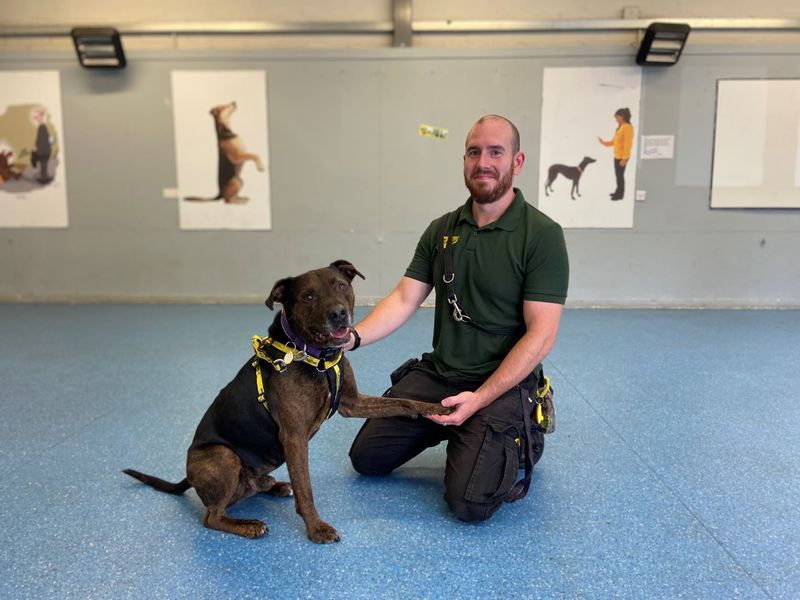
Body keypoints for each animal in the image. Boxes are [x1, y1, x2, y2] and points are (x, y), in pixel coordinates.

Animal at [125, 260, 450, 540]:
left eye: (341, 285)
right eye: (308, 296)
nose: (338, 313)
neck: (316, 357)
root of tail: (188, 476)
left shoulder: (352, 402)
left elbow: (403, 402)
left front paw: (436, 409)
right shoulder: (294, 437)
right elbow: (306, 488)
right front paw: (317, 528)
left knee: (246, 492)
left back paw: (274, 485)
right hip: (223, 455)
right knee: (212, 516)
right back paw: (249, 525)